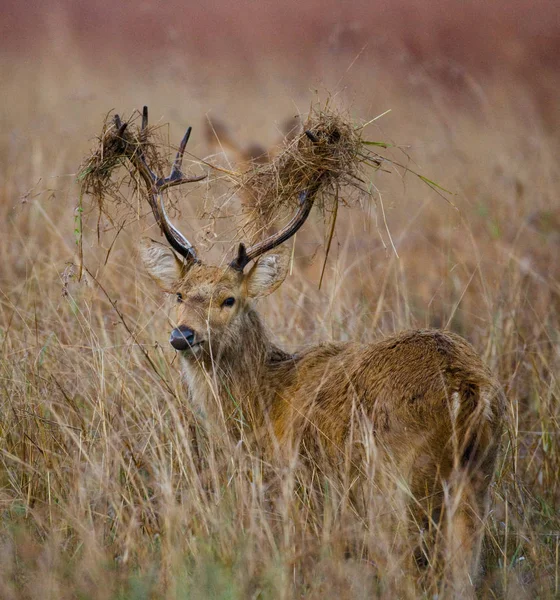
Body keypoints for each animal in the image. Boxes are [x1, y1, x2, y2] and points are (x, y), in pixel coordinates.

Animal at [111, 108, 506, 596]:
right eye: (179, 294)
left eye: (229, 299)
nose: (182, 335)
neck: (264, 402)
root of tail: (467, 390)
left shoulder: (296, 487)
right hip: (477, 481)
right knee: (465, 573)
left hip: (396, 482)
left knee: (410, 571)